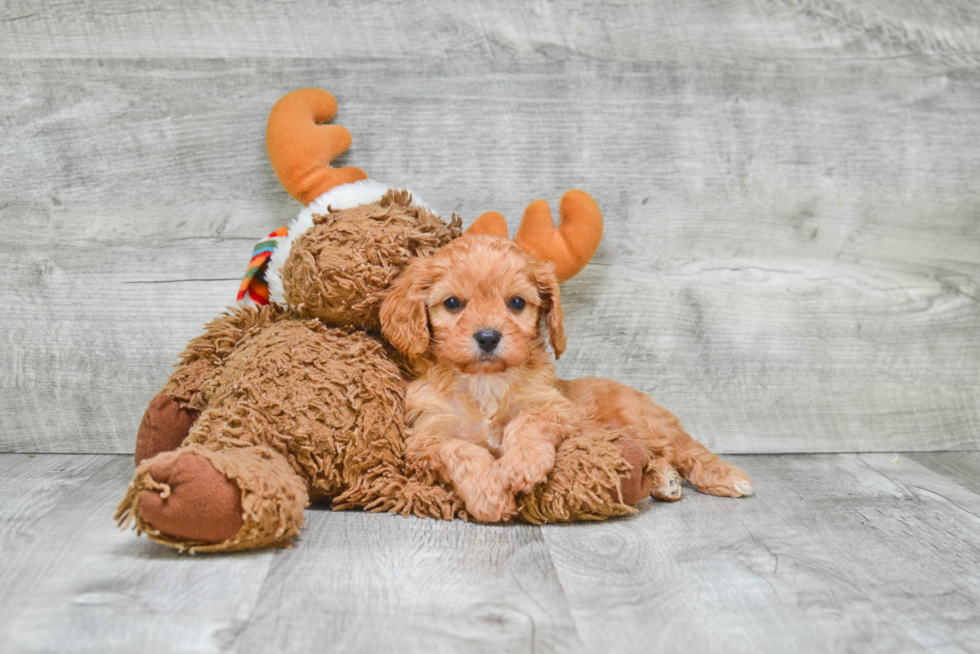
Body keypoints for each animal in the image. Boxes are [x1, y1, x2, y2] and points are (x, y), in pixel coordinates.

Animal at [378, 236, 756, 524]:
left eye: (517, 303)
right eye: (453, 303)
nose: (487, 337)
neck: (485, 381)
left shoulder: (559, 409)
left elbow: (527, 421)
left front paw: (522, 464)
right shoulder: (424, 439)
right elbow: (461, 450)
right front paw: (489, 493)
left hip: (644, 422)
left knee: (687, 449)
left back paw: (727, 477)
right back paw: (665, 480)